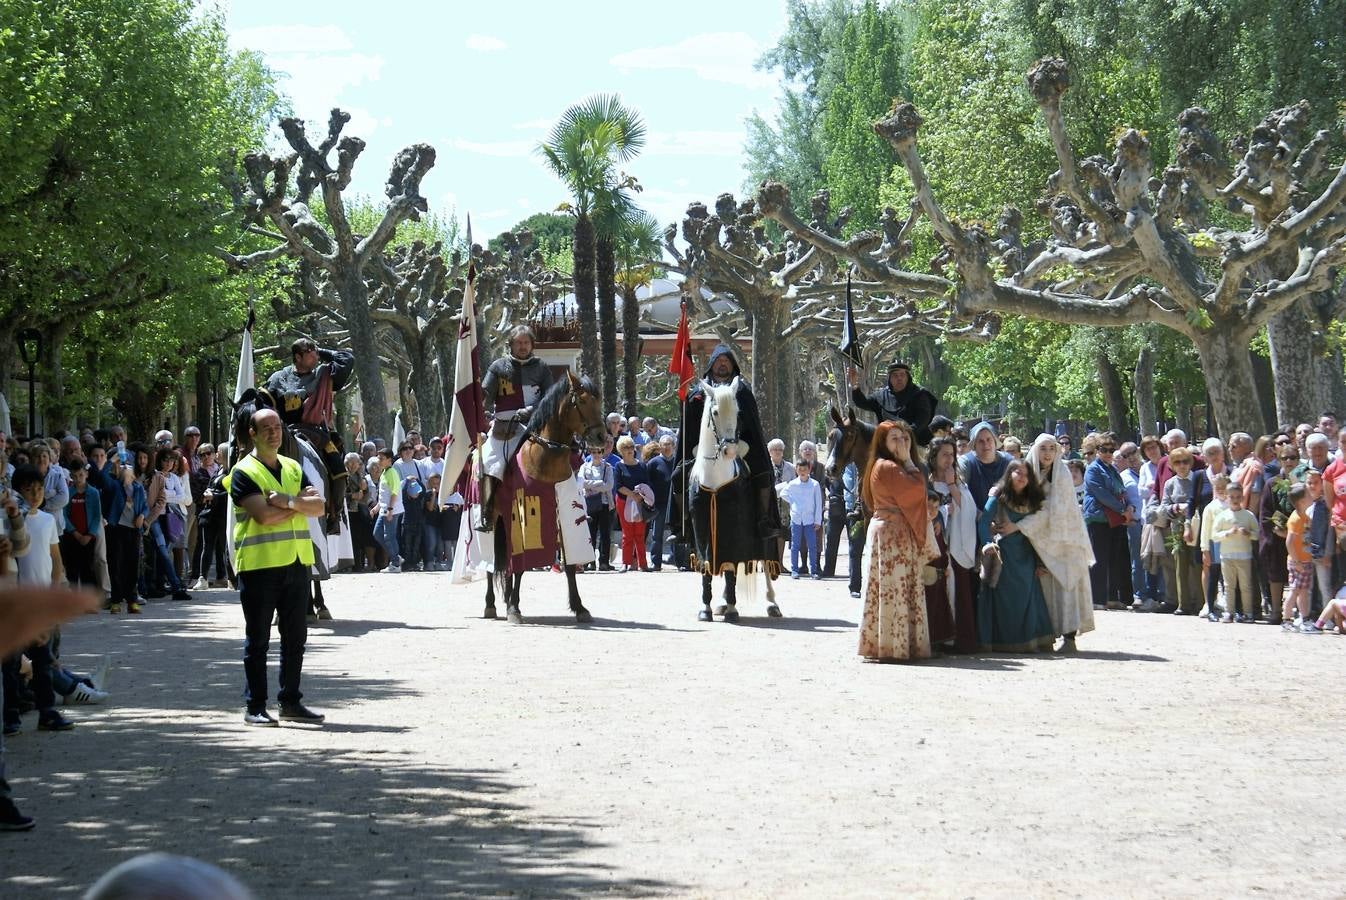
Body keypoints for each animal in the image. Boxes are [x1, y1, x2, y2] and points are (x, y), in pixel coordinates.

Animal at [484, 368, 605, 621]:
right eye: (581, 401)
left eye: (597, 401)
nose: (602, 437)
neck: (545, 457)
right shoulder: (521, 516)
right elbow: (520, 566)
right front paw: (515, 608)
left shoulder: (566, 516)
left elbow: (569, 564)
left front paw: (579, 607)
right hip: (493, 520)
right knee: (492, 564)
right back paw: (491, 604)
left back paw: (506, 598)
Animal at [694, 376, 780, 621]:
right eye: (714, 412)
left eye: (738, 411)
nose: (730, 451)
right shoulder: (702, 526)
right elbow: (707, 564)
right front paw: (706, 608)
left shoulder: (734, 525)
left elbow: (732, 565)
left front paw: (732, 609)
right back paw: (722, 603)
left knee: (765, 559)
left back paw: (771, 603)